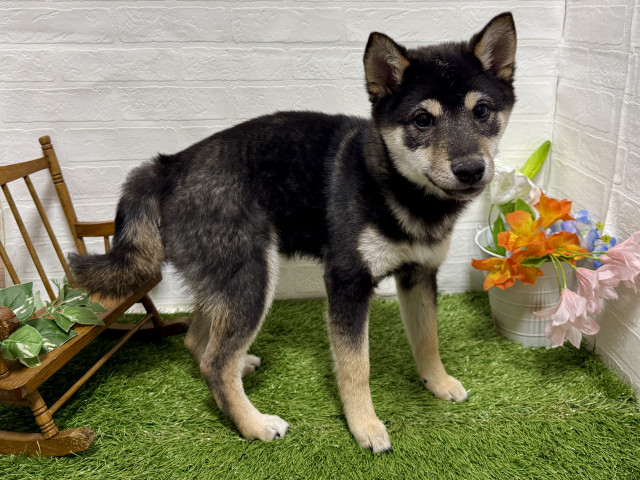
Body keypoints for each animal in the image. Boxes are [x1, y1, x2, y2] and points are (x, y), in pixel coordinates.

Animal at [70, 12, 516, 453]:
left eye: (482, 111)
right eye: (423, 120)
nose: (471, 169)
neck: (394, 185)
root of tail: (168, 165)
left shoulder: (420, 274)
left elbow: (428, 340)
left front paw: (438, 383)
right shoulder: (347, 282)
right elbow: (356, 366)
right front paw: (365, 427)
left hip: (226, 280)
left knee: (199, 343)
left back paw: (241, 372)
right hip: (251, 278)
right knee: (215, 361)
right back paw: (253, 424)